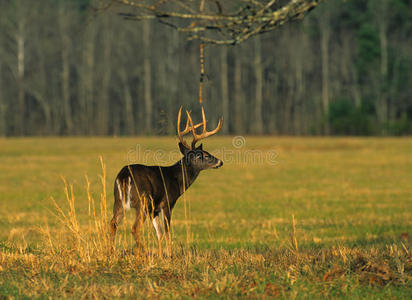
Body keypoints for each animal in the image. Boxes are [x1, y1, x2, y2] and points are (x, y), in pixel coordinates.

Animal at [110, 107, 222, 255]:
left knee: (113, 223)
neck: (176, 179)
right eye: (204, 155)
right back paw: (142, 254)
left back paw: (110, 253)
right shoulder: (167, 203)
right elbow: (167, 231)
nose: (220, 162)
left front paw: (160, 256)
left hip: (118, 201)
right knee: (134, 228)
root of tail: (124, 175)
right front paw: (169, 255)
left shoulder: (154, 210)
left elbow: (159, 233)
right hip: (143, 201)